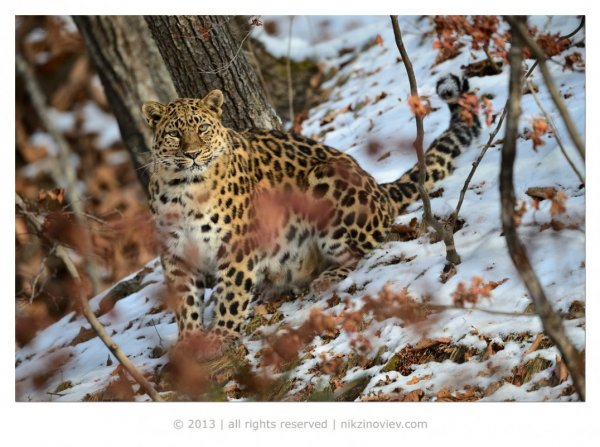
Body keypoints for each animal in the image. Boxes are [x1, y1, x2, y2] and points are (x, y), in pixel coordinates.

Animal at [141, 74, 478, 356]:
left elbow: (231, 294)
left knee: (371, 247)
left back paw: (325, 280)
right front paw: (189, 343)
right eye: (174, 134)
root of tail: (378, 188)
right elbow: (185, 303)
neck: (183, 190)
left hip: (325, 182)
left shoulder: (238, 244)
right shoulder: (175, 254)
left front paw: (220, 337)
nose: (192, 154)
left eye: (202, 128)